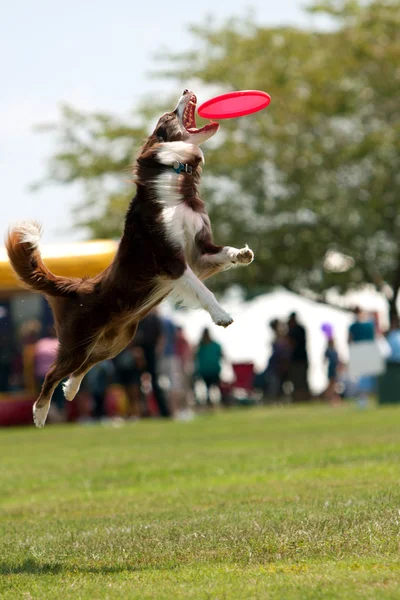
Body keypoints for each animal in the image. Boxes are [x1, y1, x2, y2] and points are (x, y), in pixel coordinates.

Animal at [6, 89, 255, 426]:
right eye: (167, 116)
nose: (186, 90)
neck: (176, 185)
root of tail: (75, 287)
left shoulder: (200, 250)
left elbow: (223, 252)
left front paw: (242, 254)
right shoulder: (171, 260)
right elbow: (203, 290)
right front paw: (221, 315)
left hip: (117, 341)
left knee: (84, 366)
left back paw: (71, 389)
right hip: (76, 340)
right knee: (53, 373)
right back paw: (40, 412)